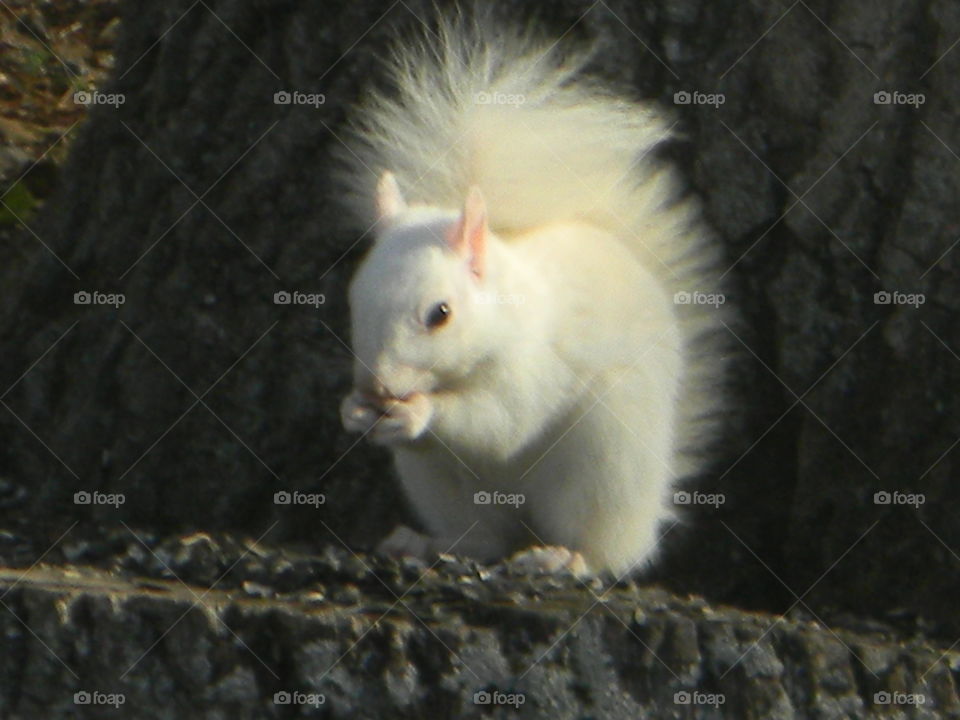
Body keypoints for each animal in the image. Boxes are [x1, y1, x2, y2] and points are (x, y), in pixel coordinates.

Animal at [337, 11, 729, 577]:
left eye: (441, 314)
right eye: (353, 301)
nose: (378, 387)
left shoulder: (535, 368)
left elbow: (501, 422)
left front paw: (417, 411)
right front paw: (353, 411)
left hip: (602, 469)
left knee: (607, 553)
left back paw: (565, 557)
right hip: (446, 490)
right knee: (484, 538)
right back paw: (426, 543)